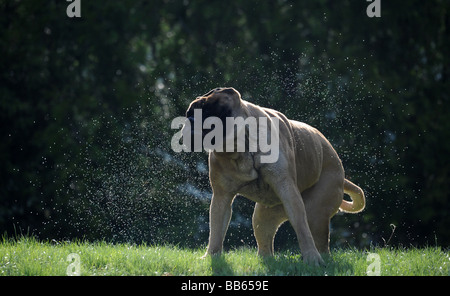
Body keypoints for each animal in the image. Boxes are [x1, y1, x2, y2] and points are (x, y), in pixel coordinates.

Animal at [185, 86, 364, 264]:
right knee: (265, 240)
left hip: (317, 213)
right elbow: (216, 229)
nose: (190, 120)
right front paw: (211, 255)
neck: (241, 148)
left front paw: (311, 257)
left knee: (319, 239)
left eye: (206, 111)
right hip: (263, 215)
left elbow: (301, 226)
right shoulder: (221, 197)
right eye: (189, 113)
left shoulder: (288, 191)